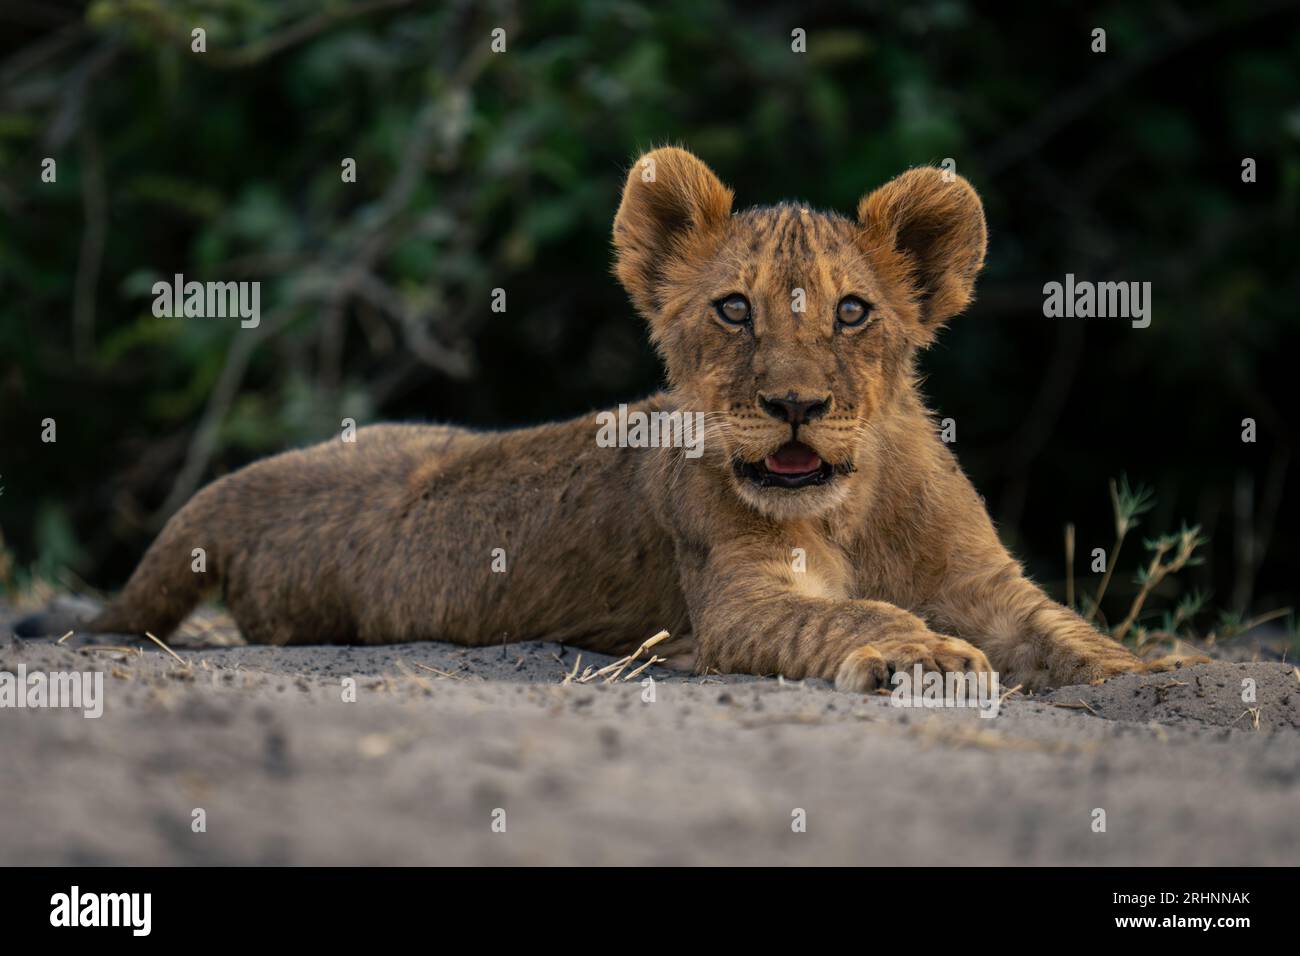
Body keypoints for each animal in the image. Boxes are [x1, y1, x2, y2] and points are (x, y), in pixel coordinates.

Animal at [19, 147, 1193, 691]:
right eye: (734, 309)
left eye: (854, 312)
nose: (795, 405)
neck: (852, 506)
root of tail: (258, 480)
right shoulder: (735, 606)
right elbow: (853, 615)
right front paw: (925, 657)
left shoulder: (987, 583)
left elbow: (1062, 627)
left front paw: (1145, 672)